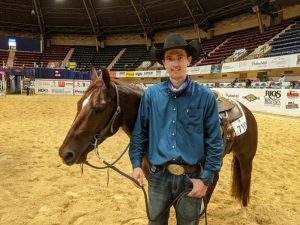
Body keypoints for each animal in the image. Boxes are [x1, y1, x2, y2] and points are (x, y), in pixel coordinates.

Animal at [58, 66, 258, 213]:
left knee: (245, 180)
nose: (65, 153)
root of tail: (244, 109)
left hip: (245, 158)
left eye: (98, 108)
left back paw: (243, 211)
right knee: (214, 179)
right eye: (79, 104)